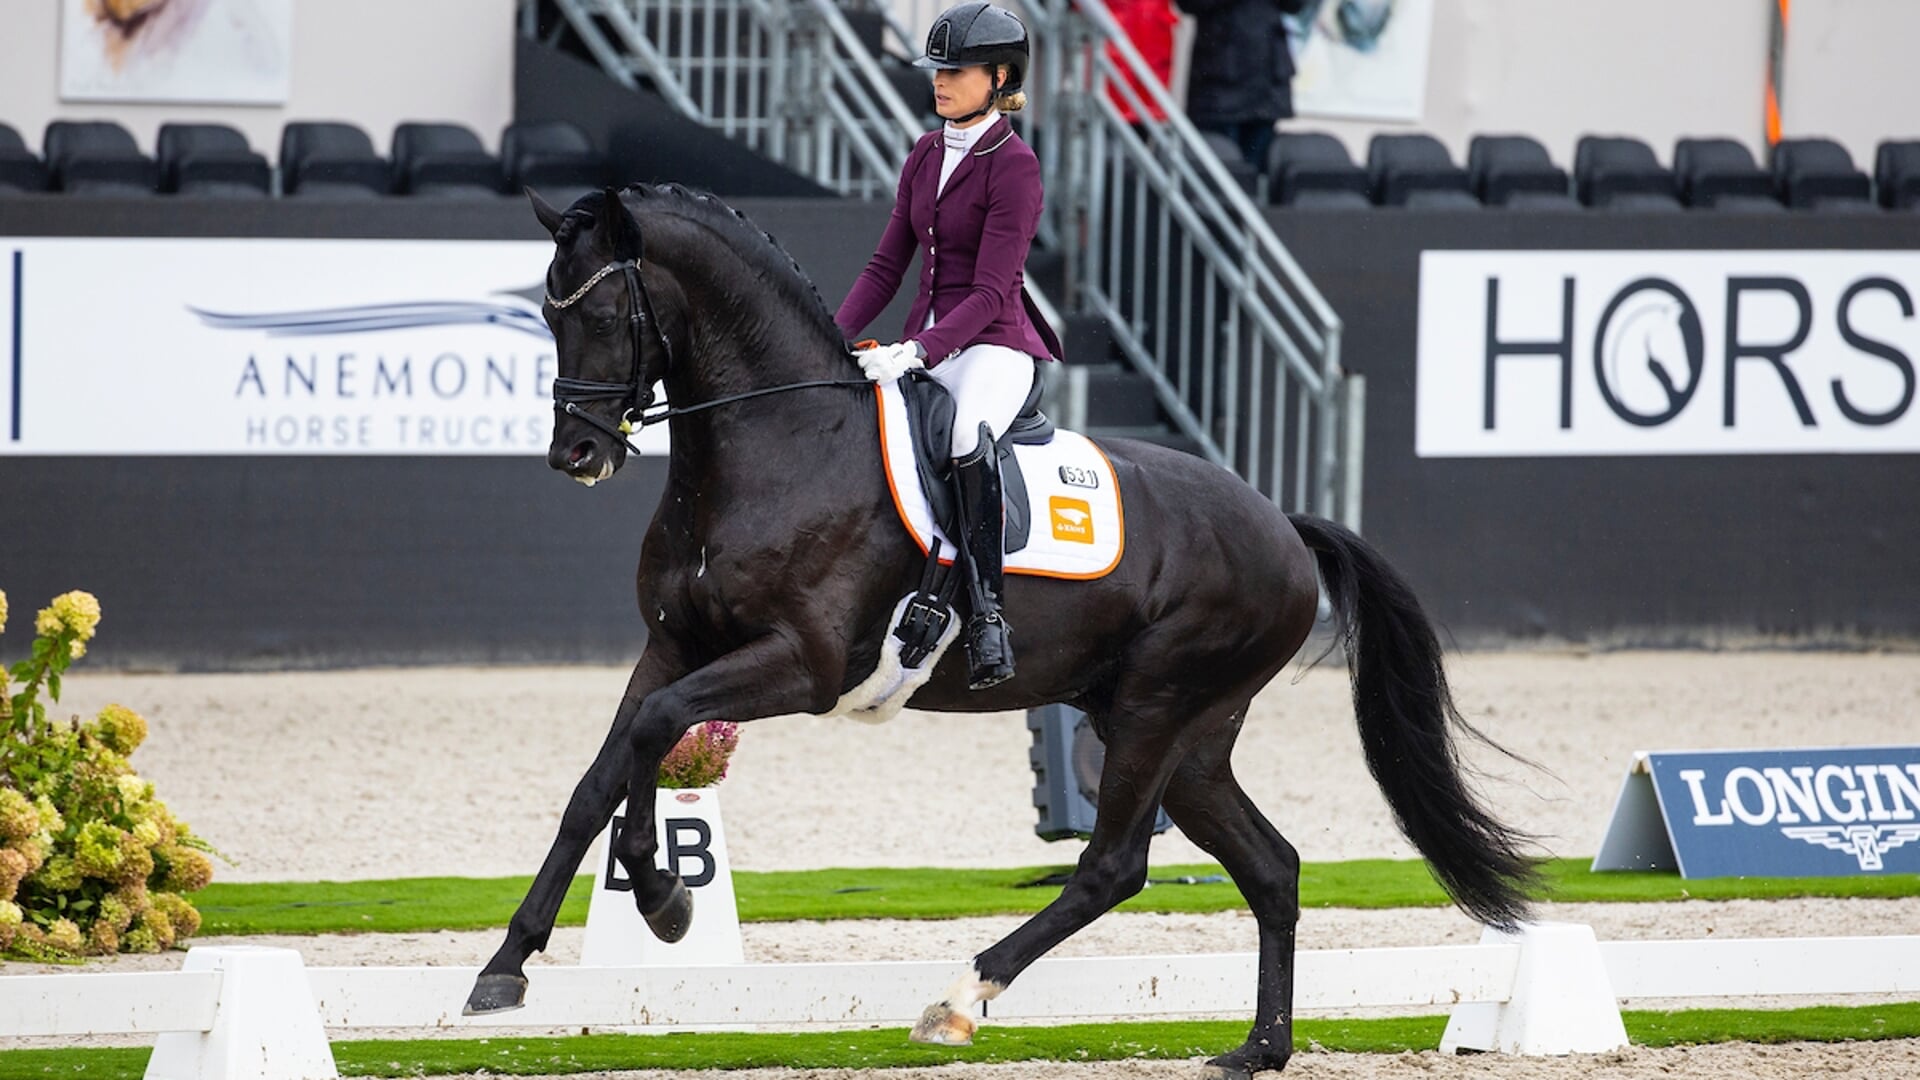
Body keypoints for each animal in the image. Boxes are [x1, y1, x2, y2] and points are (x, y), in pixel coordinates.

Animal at [464, 184, 1538, 1078]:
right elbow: (602, 777)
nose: (577, 454)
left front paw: (660, 896)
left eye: (604, 316)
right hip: (1189, 737)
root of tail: (1280, 522)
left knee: (1112, 865)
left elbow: (654, 736)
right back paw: (1257, 1050)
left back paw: (957, 999)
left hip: (1155, 709)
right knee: (1271, 867)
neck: (776, 446)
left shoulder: (802, 666)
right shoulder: (673, 648)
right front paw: (517, 961)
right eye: (548, 316)